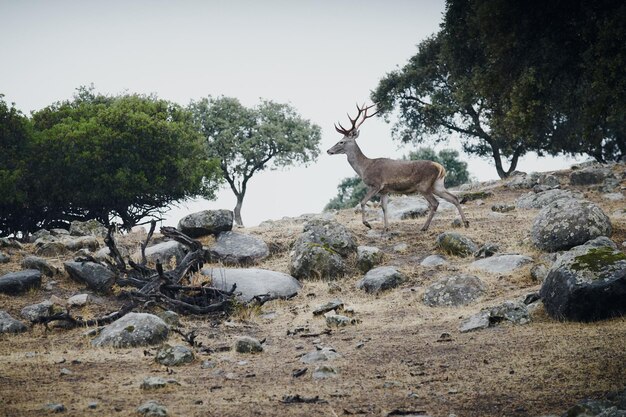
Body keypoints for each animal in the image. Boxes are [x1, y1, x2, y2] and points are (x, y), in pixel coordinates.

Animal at [326, 101, 468, 231]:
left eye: (341, 141)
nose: (328, 150)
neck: (364, 167)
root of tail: (440, 168)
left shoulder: (376, 184)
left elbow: (362, 202)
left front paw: (367, 224)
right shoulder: (384, 190)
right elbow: (384, 208)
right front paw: (386, 228)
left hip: (424, 185)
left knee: (435, 203)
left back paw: (424, 227)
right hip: (437, 185)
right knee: (454, 198)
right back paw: (466, 222)